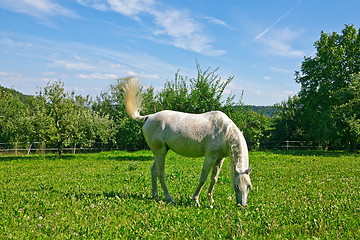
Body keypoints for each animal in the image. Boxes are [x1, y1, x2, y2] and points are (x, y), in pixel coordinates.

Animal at [119, 77, 252, 206]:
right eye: (236, 185)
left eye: (249, 186)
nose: (242, 205)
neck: (225, 131)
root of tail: (148, 117)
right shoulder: (210, 157)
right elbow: (203, 178)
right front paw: (196, 200)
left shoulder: (220, 159)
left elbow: (214, 179)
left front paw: (210, 199)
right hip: (160, 152)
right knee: (160, 173)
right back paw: (169, 199)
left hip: (159, 152)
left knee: (153, 170)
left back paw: (155, 197)